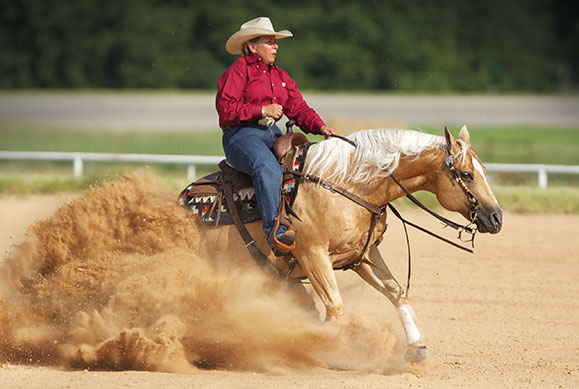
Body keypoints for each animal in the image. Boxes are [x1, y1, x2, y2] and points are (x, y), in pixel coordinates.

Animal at [195, 126, 502, 360]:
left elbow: (396, 291)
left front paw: (416, 346)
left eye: (484, 170)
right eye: (466, 174)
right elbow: (336, 307)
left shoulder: (362, 255)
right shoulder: (313, 255)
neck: (351, 184)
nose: (496, 217)